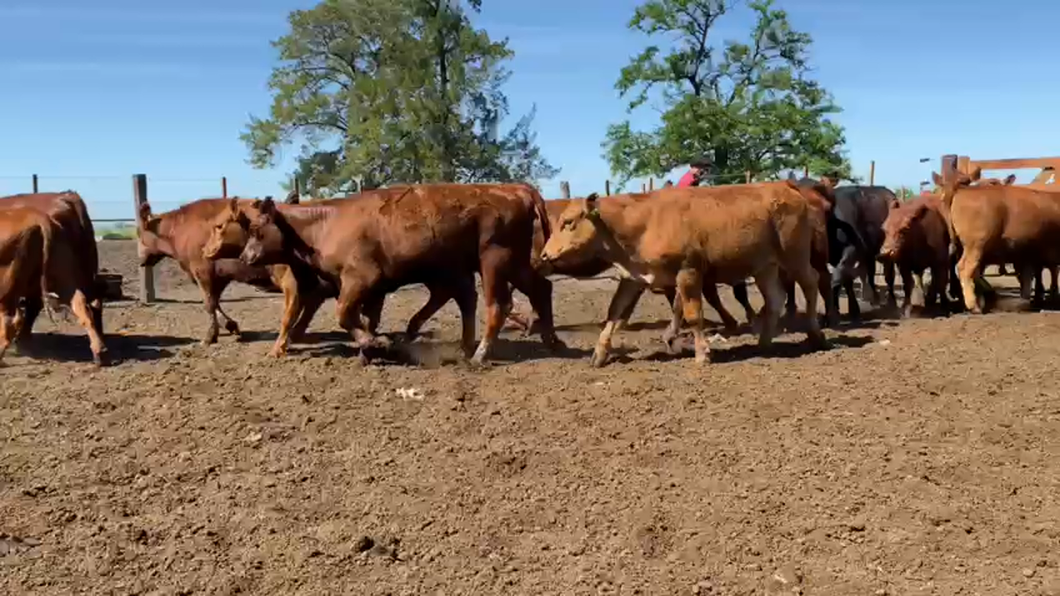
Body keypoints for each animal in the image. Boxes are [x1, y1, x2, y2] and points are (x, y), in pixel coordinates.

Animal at [0, 203, 106, 362]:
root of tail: (40, 219)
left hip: (7, 289)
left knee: (10, 321)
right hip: (62, 276)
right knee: (82, 304)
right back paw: (99, 352)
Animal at [233, 182, 563, 362]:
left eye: (257, 230)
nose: (245, 256)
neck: (325, 224)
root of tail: (515, 189)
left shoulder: (360, 280)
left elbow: (344, 315)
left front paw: (376, 344)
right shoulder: (373, 290)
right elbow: (366, 318)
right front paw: (370, 349)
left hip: (494, 261)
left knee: (497, 305)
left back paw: (480, 354)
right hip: (511, 263)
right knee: (538, 288)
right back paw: (550, 340)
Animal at [538, 182, 826, 366]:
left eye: (568, 222)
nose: (544, 255)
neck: (642, 223)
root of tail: (788, 188)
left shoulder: (689, 272)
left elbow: (693, 314)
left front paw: (702, 354)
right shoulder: (632, 279)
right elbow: (614, 313)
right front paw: (599, 354)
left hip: (795, 255)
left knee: (811, 284)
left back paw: (816, 335)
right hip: (764, 266)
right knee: (775, 298)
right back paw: (764, 343)